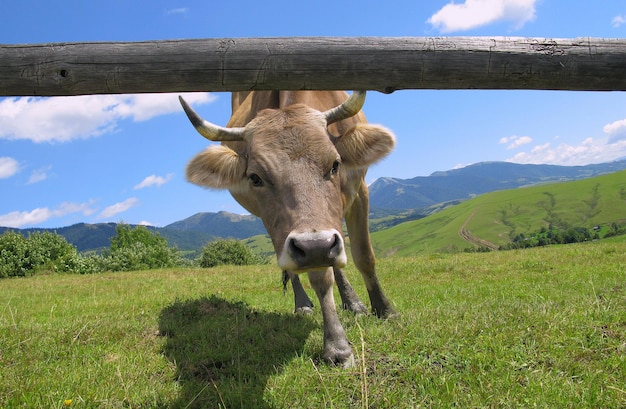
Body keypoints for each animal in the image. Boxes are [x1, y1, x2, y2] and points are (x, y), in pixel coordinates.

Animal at [179, 91, 394, 364]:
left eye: (335, 164)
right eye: (255, 178)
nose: (317, 246)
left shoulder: (360, 190)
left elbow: (364, 256)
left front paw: (384, 309)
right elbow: (319, 276)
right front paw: (337, 346)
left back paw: (353, 302)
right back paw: (303, 303)